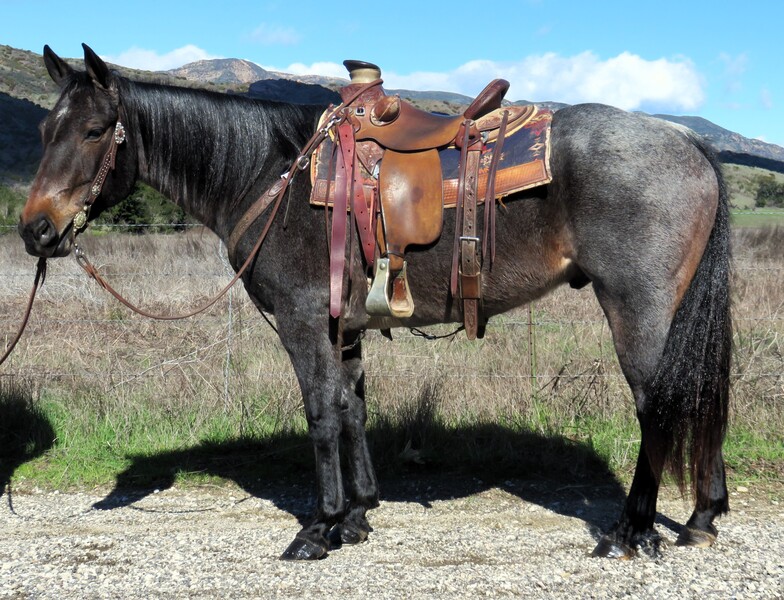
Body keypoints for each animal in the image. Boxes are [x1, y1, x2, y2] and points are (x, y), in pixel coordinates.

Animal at [18, 44, 732, 560]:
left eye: (94, 130)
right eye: (45, 127)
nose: (36, 230)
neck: (268, 175)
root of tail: (685, 140)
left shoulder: (304, 322)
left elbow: (320, 415)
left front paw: (320, 527)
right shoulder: (345, 325)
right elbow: (352, 409)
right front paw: (358, 515)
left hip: (637, 310)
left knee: (658, 406)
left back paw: (631, 531)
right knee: (699, 397)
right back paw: (701, 516)